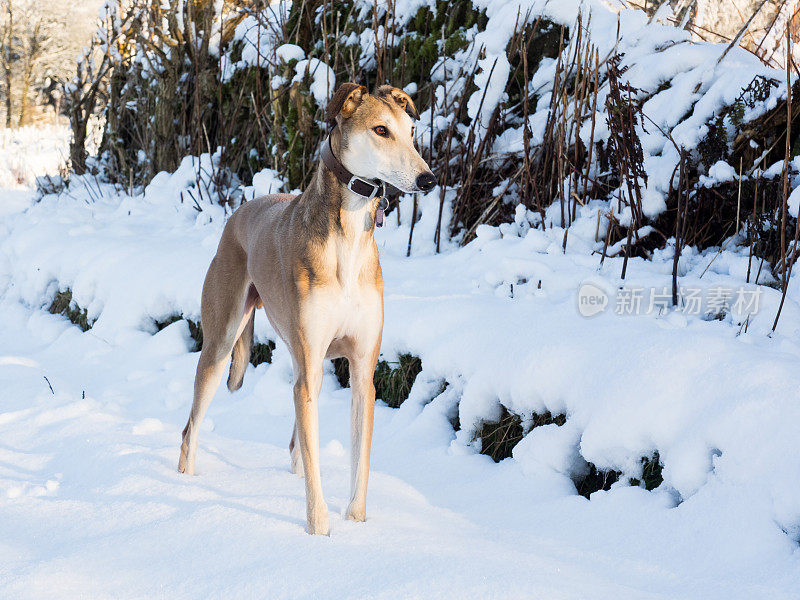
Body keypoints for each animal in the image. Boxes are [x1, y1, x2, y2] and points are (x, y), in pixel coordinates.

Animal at [177, 81, 434, 536]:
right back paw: (187, 486)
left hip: (299, 360)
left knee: (297, 440)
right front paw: (319, 532)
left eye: (411, 132)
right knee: (190, 430)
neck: (348, 235)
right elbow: (315, 468)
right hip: (222, 344)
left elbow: (358, 462)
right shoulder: (313, 365)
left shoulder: (362, 374)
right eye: (381, 130)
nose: (429, 178)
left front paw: (357, 524)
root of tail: (240, 212)